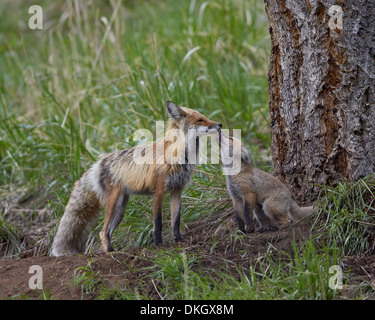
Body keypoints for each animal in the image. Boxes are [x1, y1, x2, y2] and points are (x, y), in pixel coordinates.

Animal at [49, 101, 220, 256]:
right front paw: (158, 244)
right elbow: (158, 222)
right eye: (200, 120)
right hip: (114, 202)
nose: (220, 124)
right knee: (102, 231)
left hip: (121, 209)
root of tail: (97, 165)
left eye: (205, 117)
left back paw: (113, 250)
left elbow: (175, 221)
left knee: (108, 231)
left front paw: (178, 240)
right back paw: (109, 252)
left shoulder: (177, 190)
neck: (179, 155)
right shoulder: (159, 190)